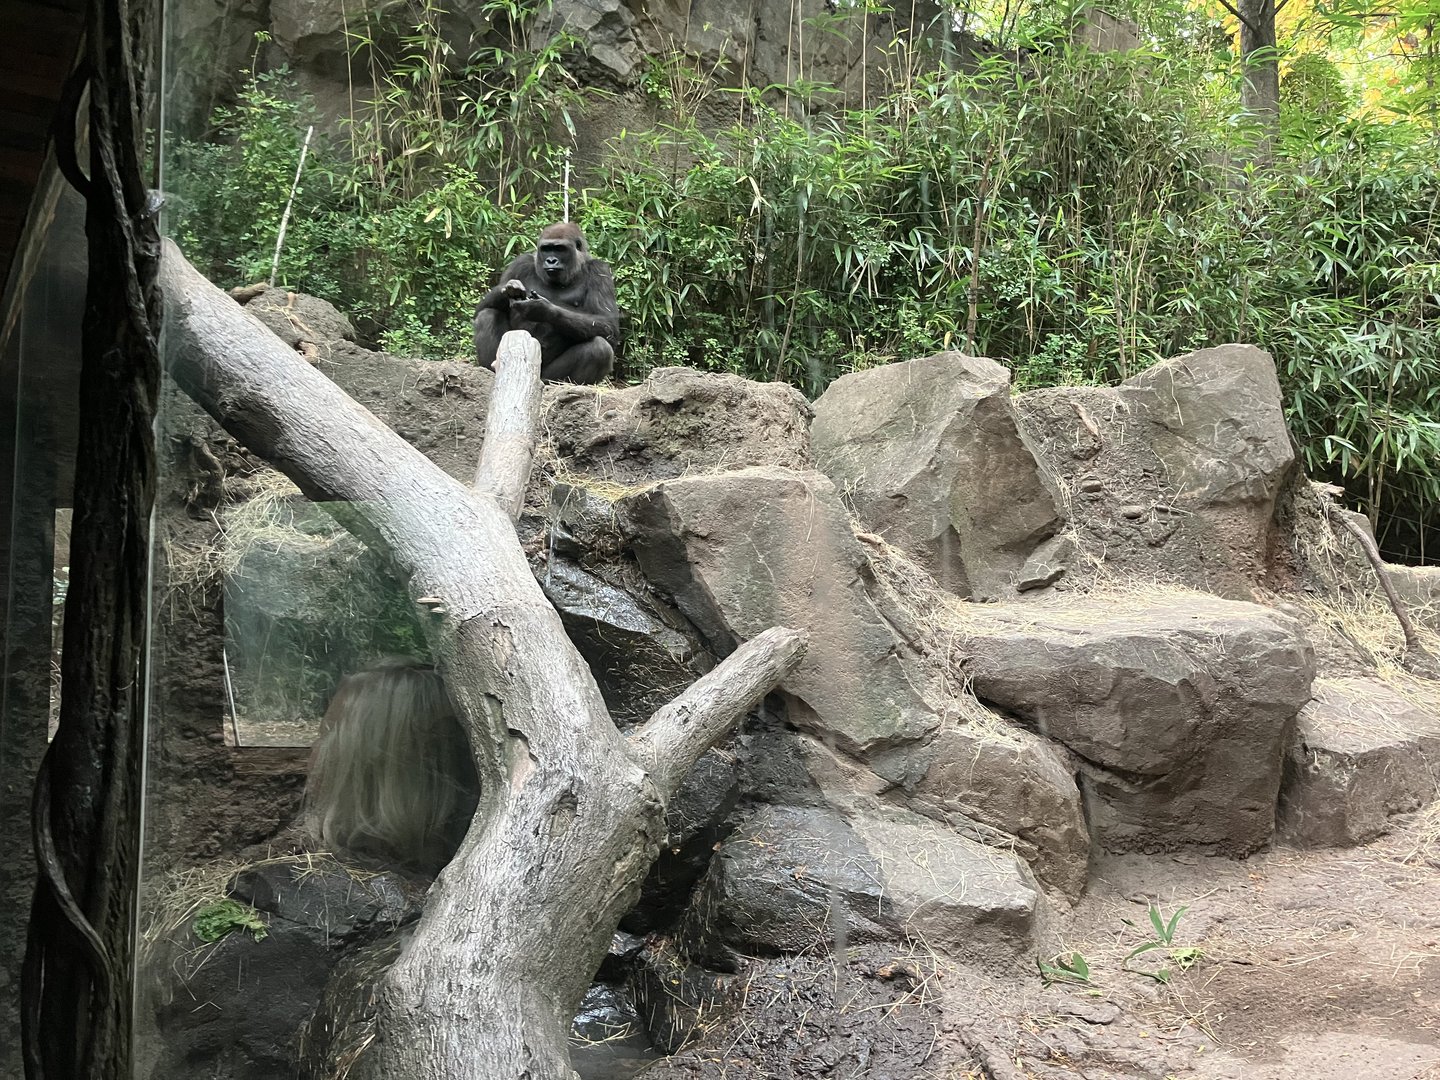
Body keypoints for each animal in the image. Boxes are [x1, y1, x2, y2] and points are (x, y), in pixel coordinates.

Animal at [472, 222, 620, 384]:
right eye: (546, 249)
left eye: (560, 249)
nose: (551, 261)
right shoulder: (520, 263)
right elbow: (481, 309)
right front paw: (509, 289)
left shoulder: (600, 270)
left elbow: (608, 323)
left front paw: (543, 309)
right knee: (487, 315)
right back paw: (490, 369)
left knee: (600, 348)